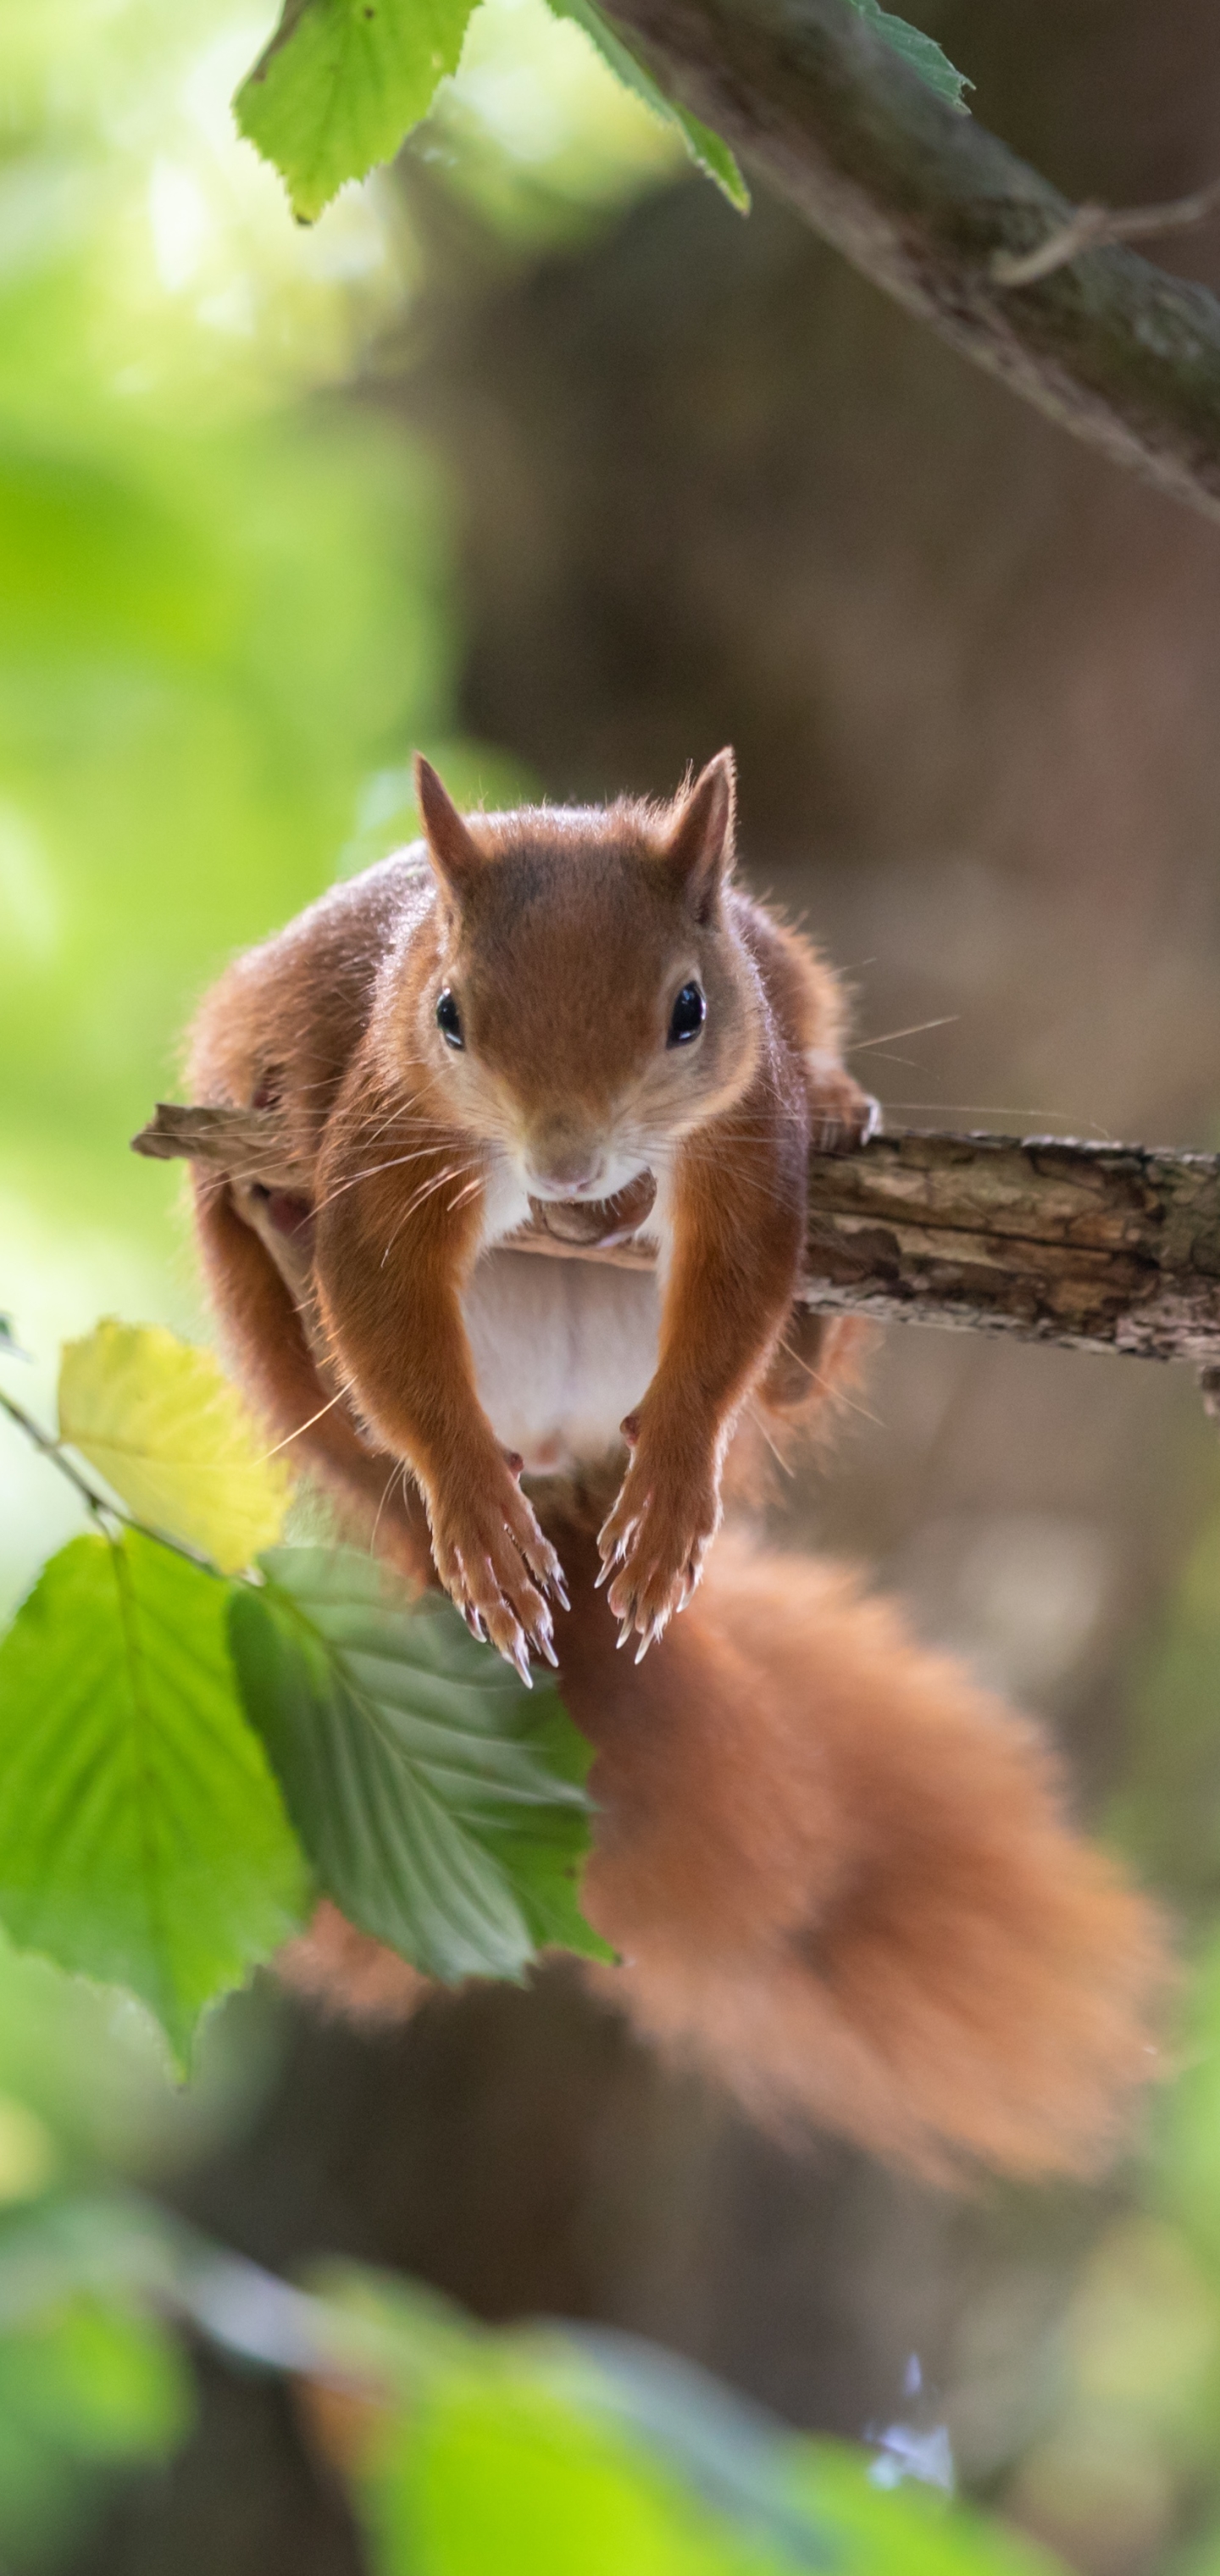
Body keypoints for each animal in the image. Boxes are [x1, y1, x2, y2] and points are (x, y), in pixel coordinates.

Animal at [185, 747, 1168, 2174]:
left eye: (689, 1011)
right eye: (449, 1016)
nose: (571, 1165)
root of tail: (564, 1479)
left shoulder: (749, 1135)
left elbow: (739, 1290)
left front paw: (678, 1487)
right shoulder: (384, 1133)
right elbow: (381, 1300)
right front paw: (472, 1509)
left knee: (790, 1354)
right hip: (277, 1329)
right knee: (334, 1348)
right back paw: (288, 1235)